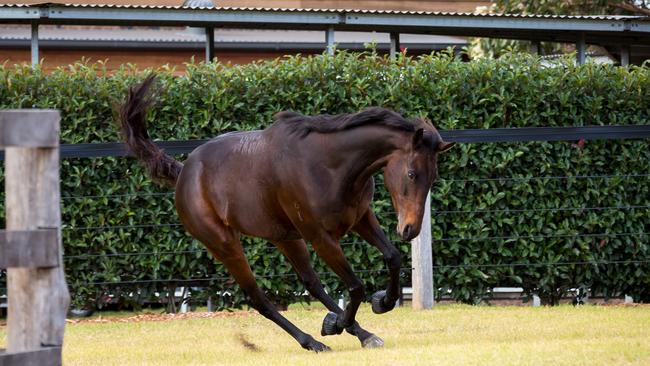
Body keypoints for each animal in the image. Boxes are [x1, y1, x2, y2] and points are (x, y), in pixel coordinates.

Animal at [119, 75, 454, 352]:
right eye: (411, 174)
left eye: (433, 177)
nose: (410, 229)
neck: (332, 165)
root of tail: (183, 172)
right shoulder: (320, 237)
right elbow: (356, 286)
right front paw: (340, 322)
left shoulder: (360, 218)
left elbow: (392, 257)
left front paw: (381, 303)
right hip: (224, 243)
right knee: (259, 298)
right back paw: (315, 340)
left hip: (285, 237)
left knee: (311, 282)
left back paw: (357, 332)